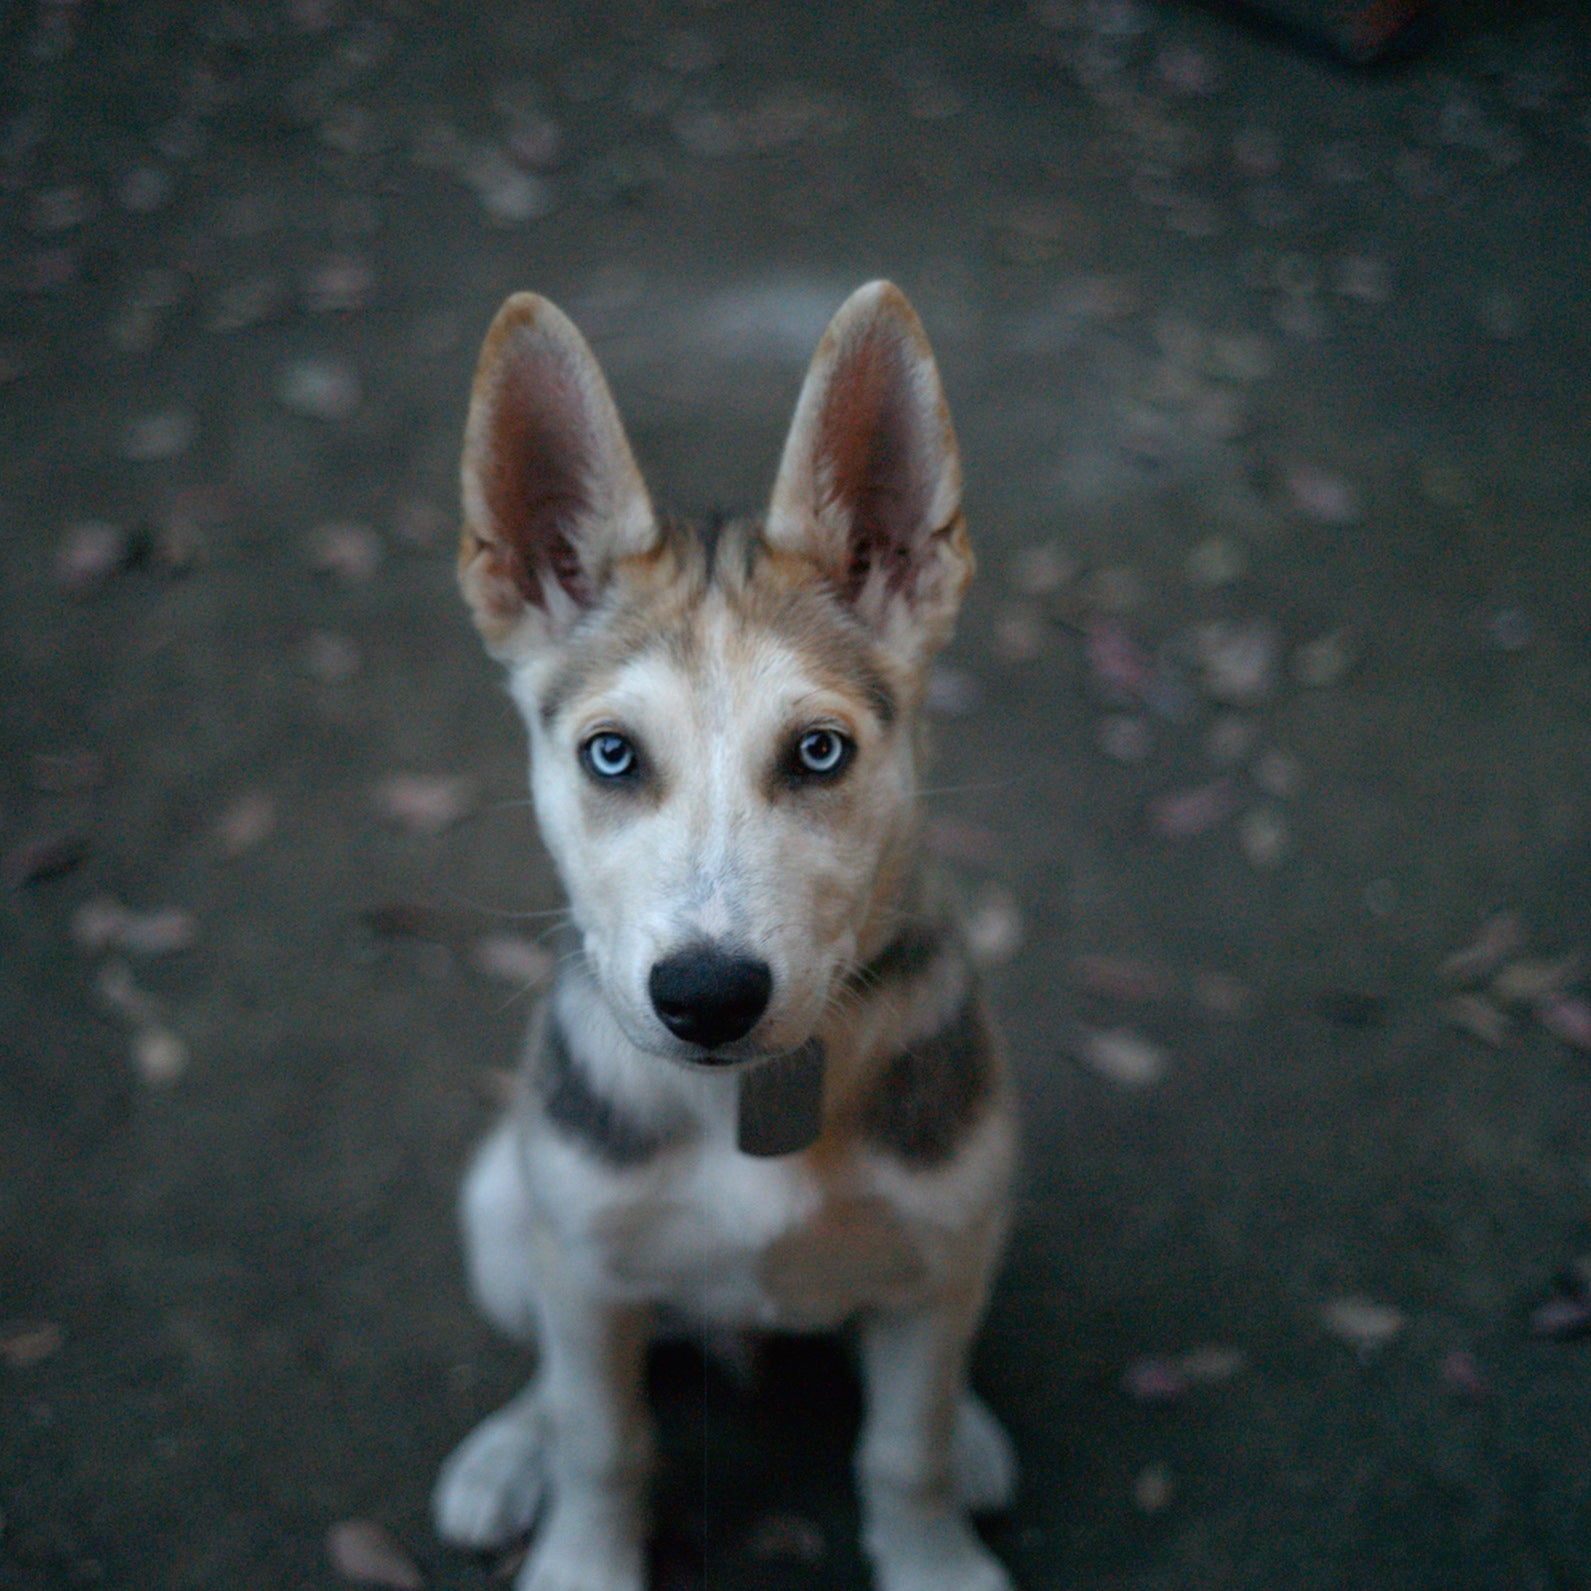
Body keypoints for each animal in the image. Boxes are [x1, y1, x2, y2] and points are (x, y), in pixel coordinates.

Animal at [435, 283, 1018, 1591]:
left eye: (820, 751)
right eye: (611, 753)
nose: (707, 995)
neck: (751, 1106)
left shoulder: (940, 1250)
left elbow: (903, 1446)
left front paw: (934, 1552)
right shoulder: (584, 1270)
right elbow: (601, 1436)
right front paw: (581, 1559)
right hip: (505, 1205)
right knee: (550, 1373)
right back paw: (509, 1450)